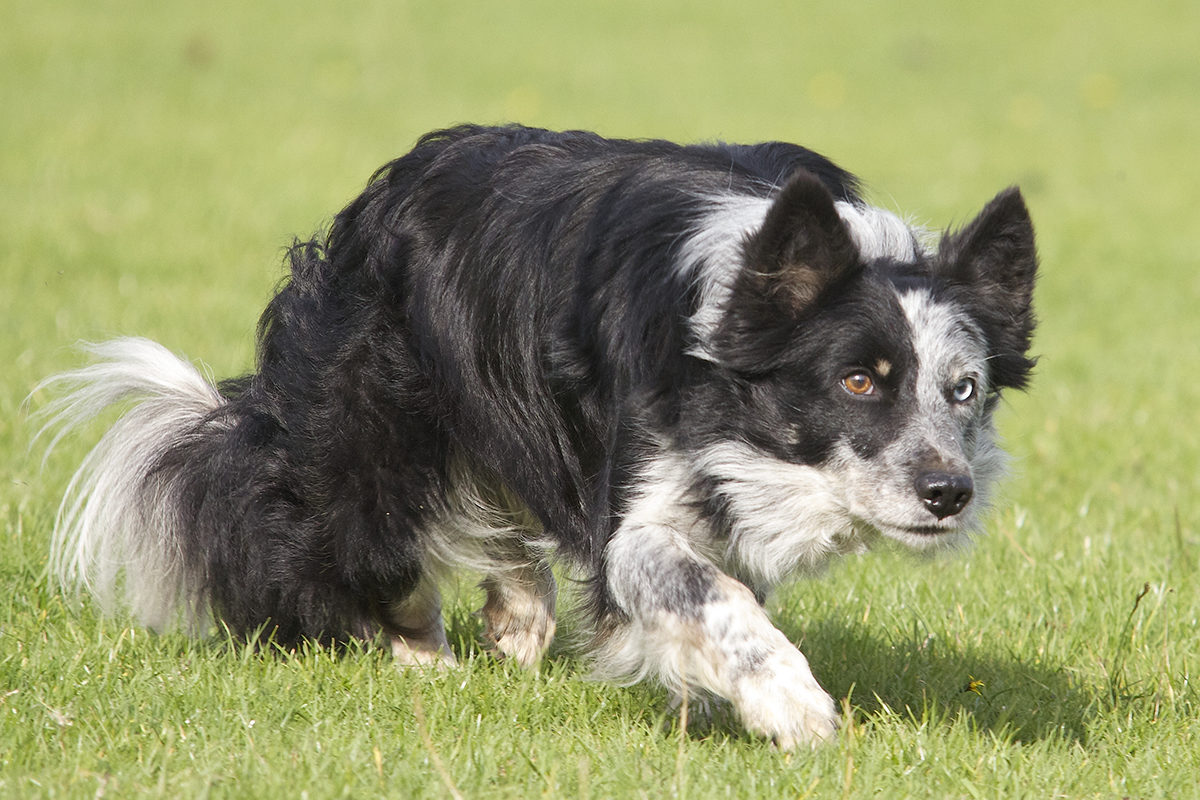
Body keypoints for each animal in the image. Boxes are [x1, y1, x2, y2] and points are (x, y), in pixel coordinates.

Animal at [37, 122, 1036, 748]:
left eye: (965, 390)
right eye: (858, 381)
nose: (948, 493)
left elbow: (715, 592)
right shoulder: (636, 499)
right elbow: (706, 593)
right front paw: (792, 706)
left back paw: (516, 615)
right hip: (374, 431)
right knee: (342, 540)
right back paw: (418, 648)